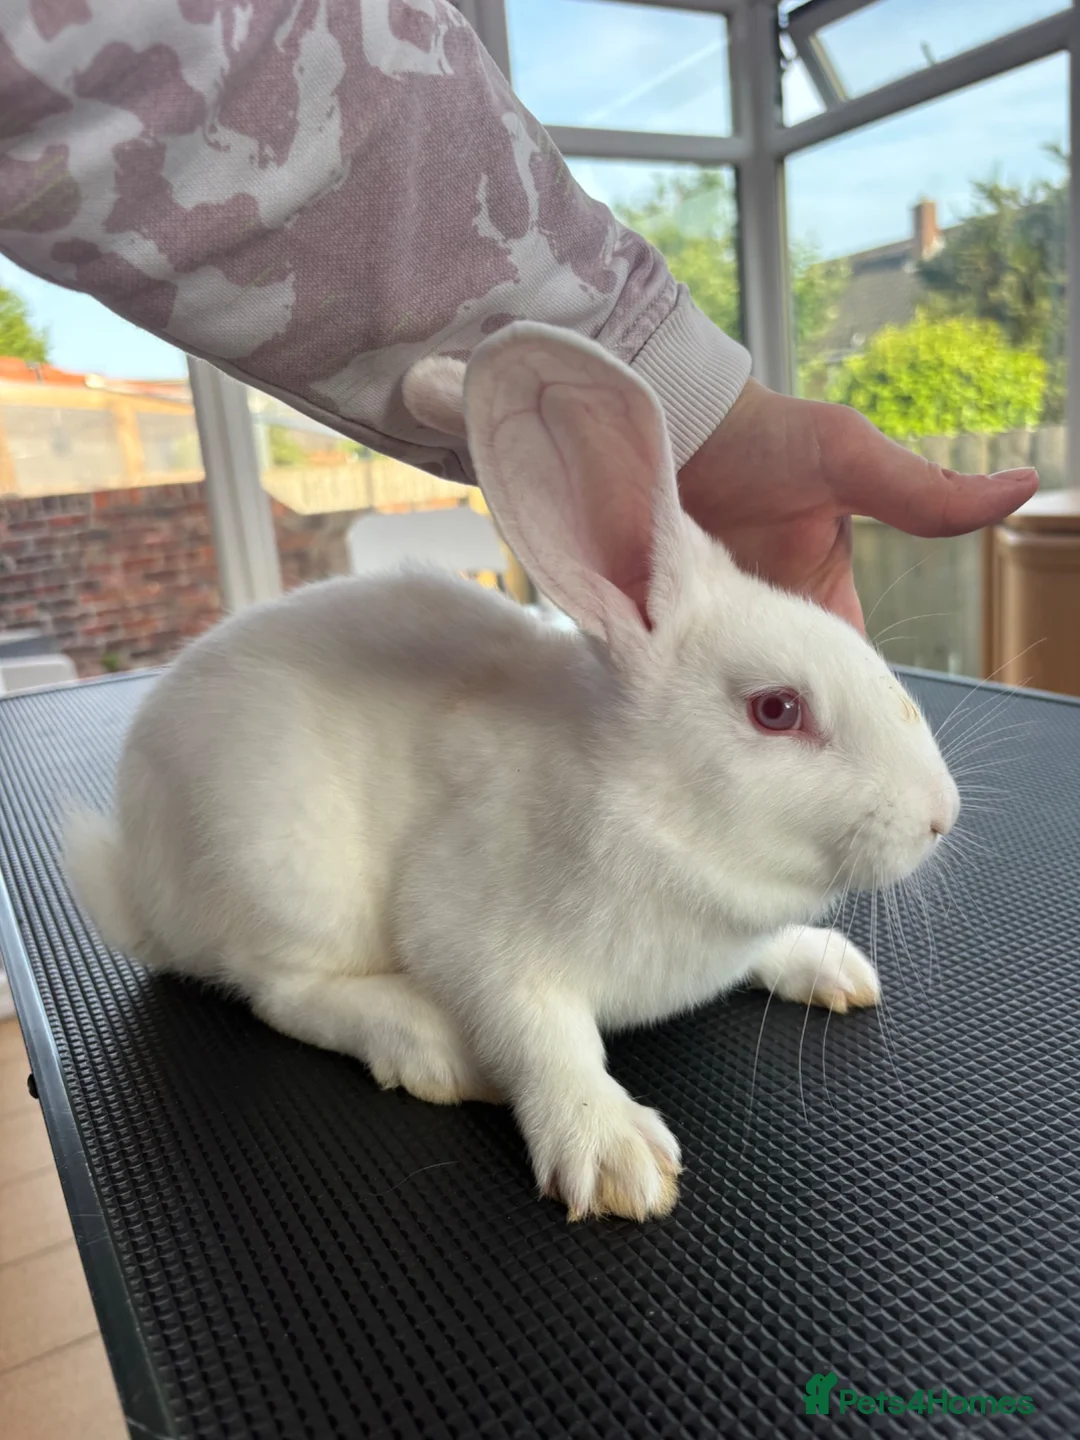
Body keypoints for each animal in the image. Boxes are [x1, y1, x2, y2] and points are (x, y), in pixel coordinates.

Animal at [64, 322, 959, 1223]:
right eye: (777, 710)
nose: (941, 814)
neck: (665, 821)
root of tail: (140, 880)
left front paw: (831, 966)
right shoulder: (479, 940)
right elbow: (542, 1038)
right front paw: (615, 1156)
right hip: (282, 875)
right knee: (281, 991)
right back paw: (429, 1045)